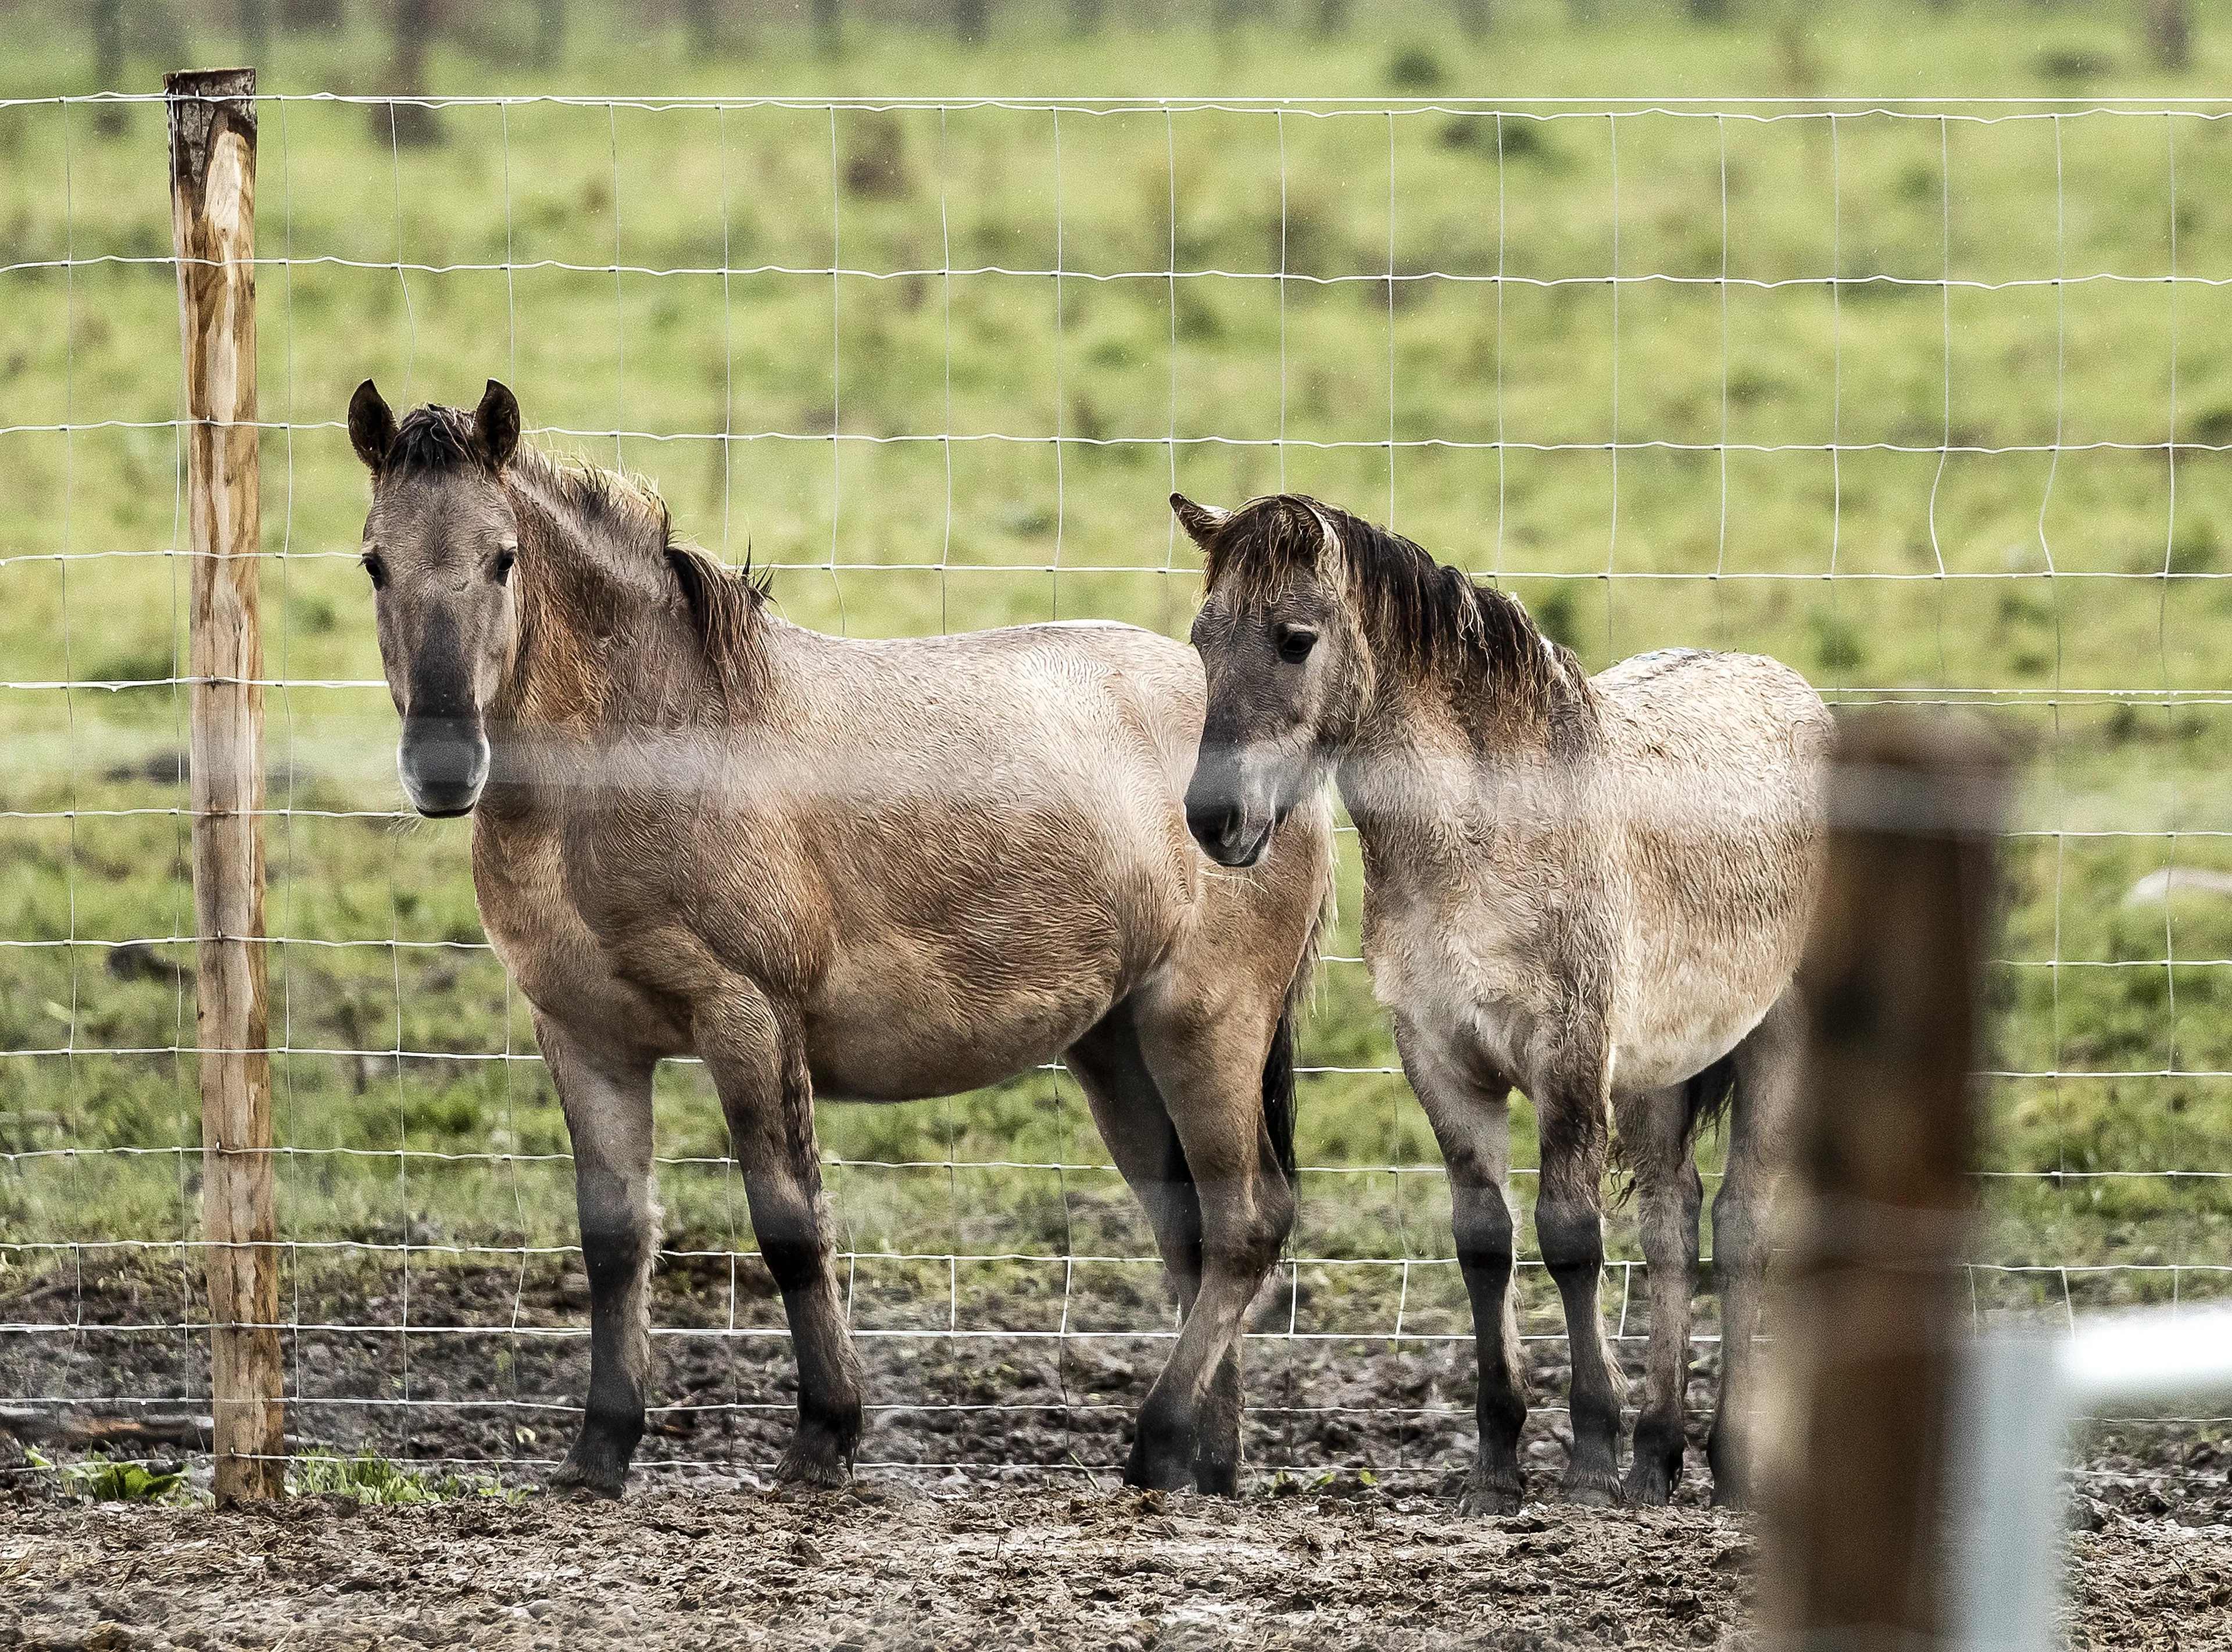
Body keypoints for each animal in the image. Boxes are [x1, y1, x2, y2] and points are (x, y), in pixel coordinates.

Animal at [344, 378, 1333, 1498]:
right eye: (375, 560)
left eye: (502, 556)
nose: (443, 764)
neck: (651, 749)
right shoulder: (585, 1036)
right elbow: (615, 1241)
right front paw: (600, 1448)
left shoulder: (748, 1018)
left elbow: (790, 1225)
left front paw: (825, 1434)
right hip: (1119, 1045)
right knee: (1192, 1232)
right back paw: (1205, 1463)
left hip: (1207, 1025)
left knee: (1247, 1223)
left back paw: (1158, 1440)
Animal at [1172, 490, 1829, 1511]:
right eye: (1203, 639)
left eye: (1294, 638)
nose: (1216, 821)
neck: (1486, 837)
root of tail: (1799, 691)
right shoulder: (1443, 1059)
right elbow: (1485, 1242)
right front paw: (1497, 1462)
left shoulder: (1571, 1055)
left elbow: (1570, 1237)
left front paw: (1590, 1455)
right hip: (1658, 1069)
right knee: (1672, 1221)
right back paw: (1658, 1456)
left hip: (1772, 1040)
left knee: (1740, 1225)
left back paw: (1724, 1463)